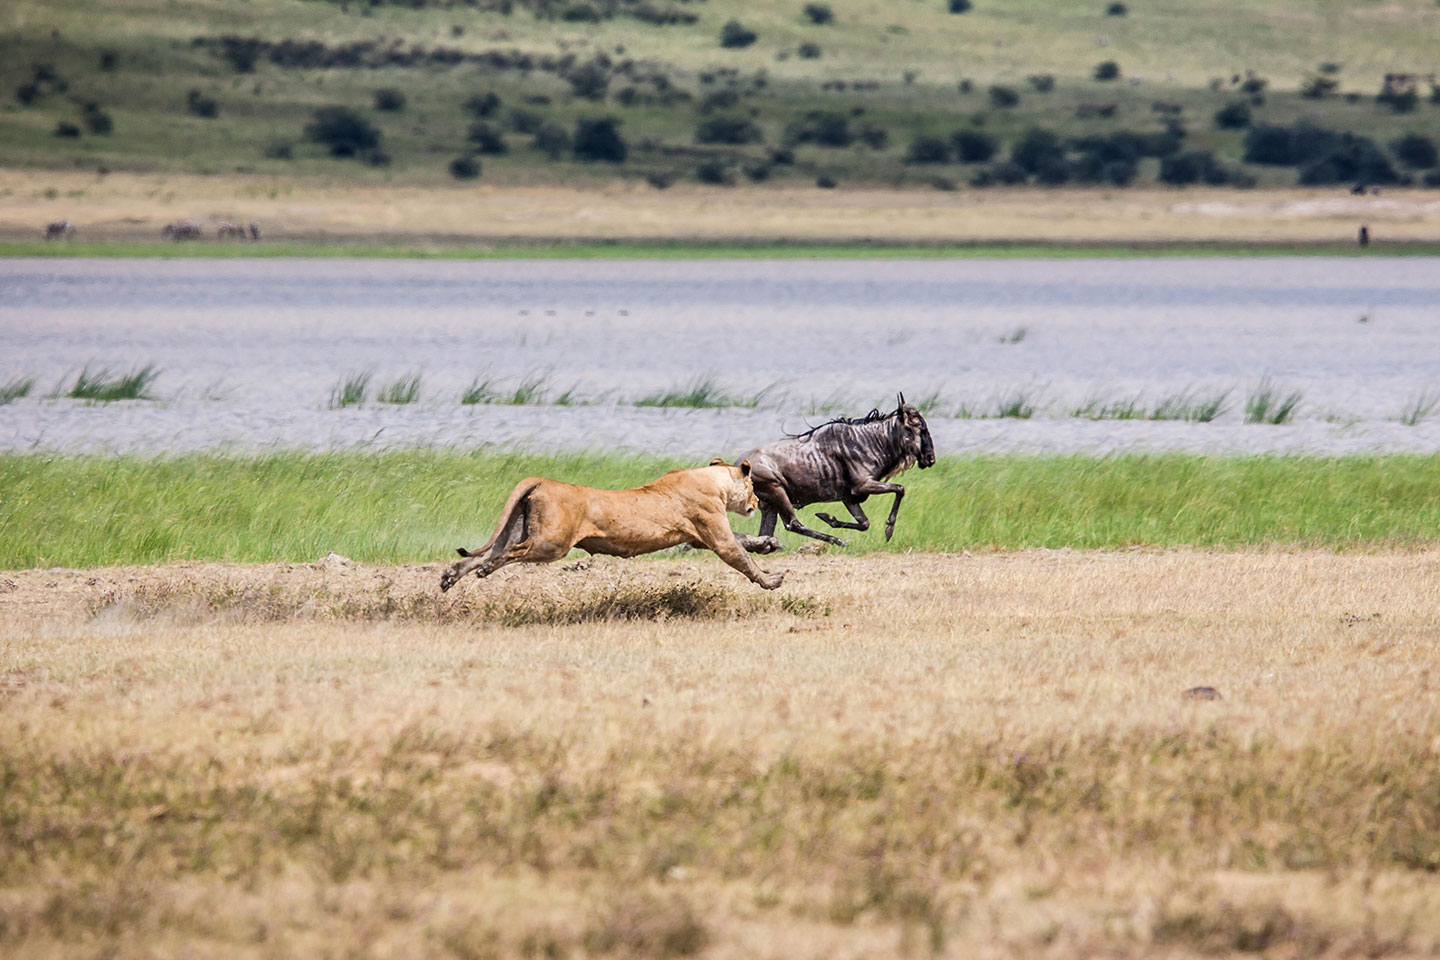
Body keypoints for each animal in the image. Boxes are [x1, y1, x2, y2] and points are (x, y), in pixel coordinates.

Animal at [439, 459, 785, 591]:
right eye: (753, 486)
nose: (756, 502)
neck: (712, 479)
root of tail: (542, 481)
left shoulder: (700, 536)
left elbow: (743, 539)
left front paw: (769, 544)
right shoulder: (712, 530)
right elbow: (740, 555)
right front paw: (771, 580)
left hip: (518, 528)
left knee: (483, 553)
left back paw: (450, 577)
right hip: (552, 542)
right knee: (508, 553)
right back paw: (485, 570)